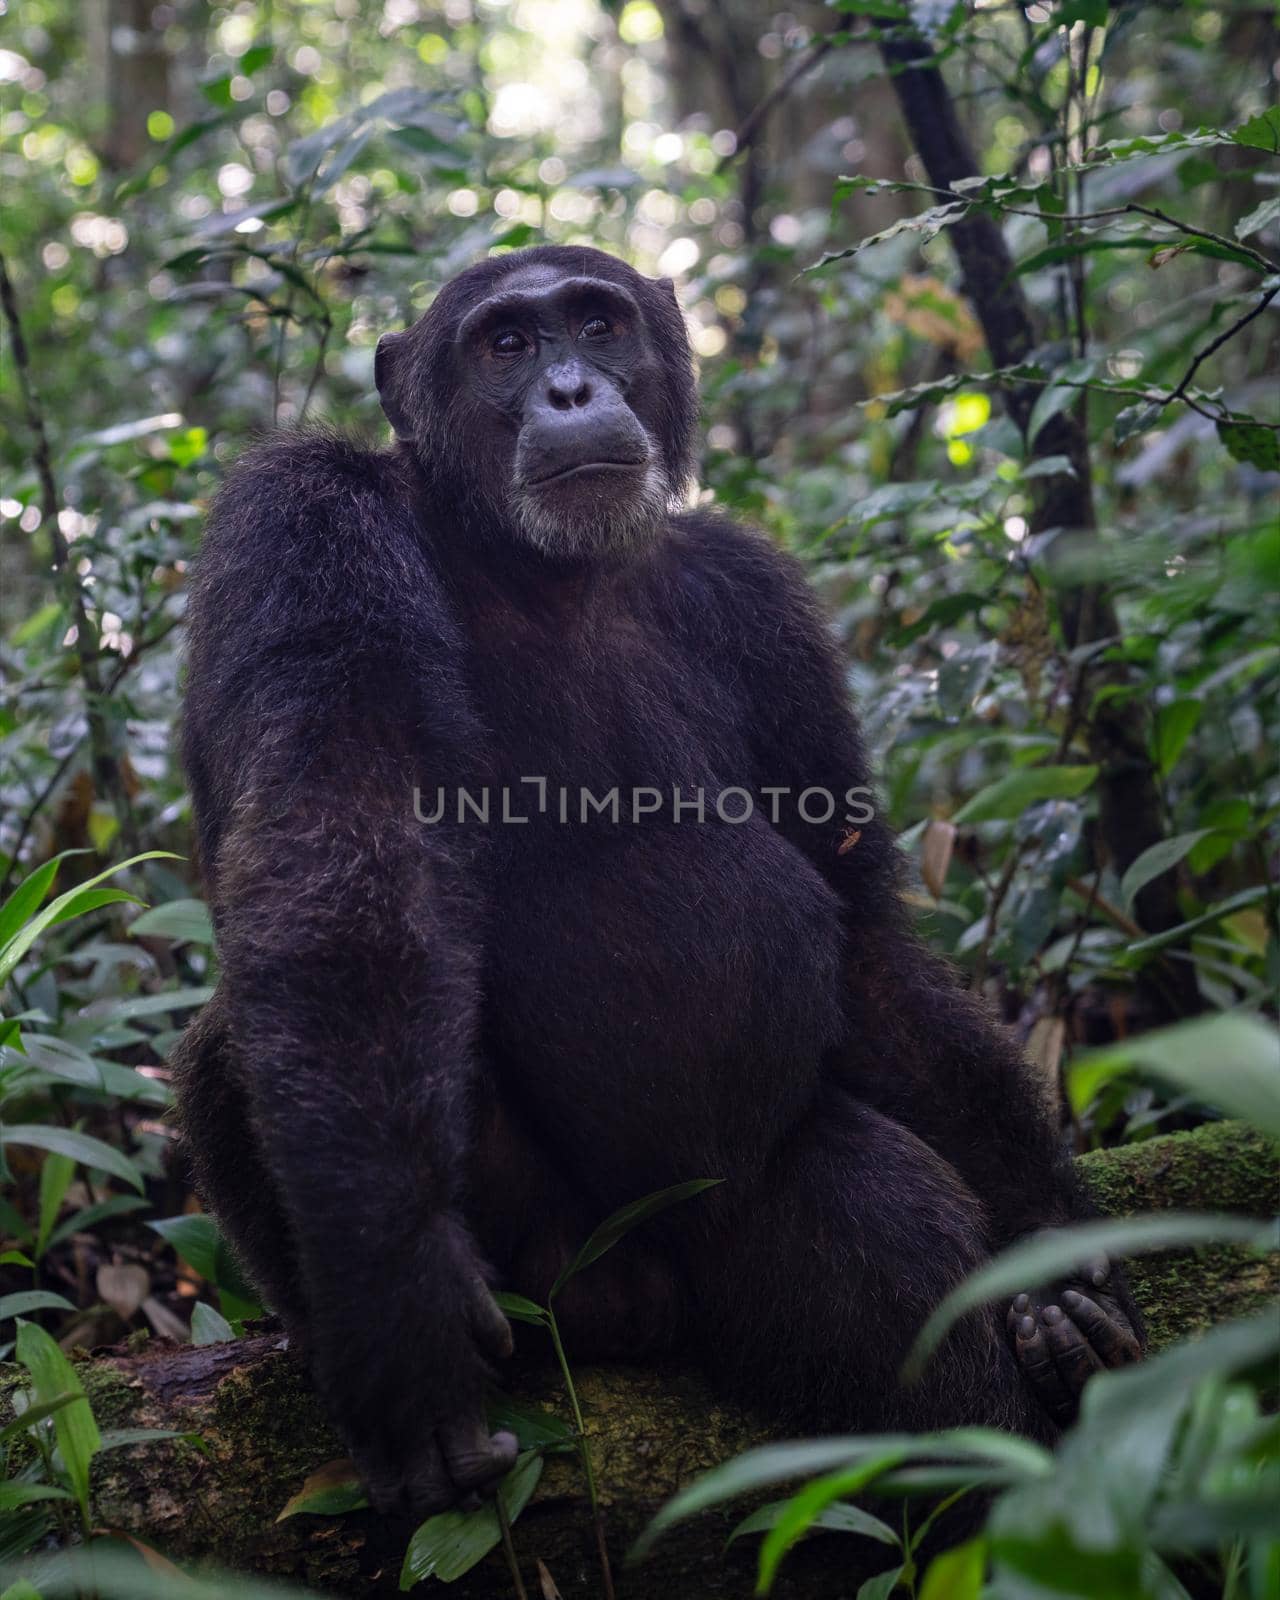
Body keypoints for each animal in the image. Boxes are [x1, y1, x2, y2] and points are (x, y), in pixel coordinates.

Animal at [175, 243, 1145, 1516]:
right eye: (505, 344)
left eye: (597, 324)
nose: (571, 388)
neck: (537, 565)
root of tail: (636, 1312)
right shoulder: (301, 523)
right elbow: (339, 843)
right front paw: (398, 1306)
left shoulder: (763, 606)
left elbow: (866, 940)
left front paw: (1050, 1251)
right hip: (541, 1275)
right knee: (258, 1021)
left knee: (893, 1265)